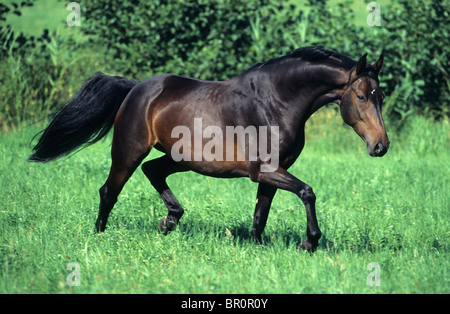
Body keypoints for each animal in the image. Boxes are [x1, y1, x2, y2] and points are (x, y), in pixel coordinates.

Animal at [29, 46, 386, 251]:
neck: (275, 102)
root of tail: (136, 89)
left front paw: (256, 248)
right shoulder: (266, 169)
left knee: (152, 171)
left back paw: (169, 221)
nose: (381, 146)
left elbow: (261, 214)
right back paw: (100, 237)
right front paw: (309, 242)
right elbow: (308, 192)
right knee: (109, 191)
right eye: (361, 96)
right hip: (128, 152)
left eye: (381, 96)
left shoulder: (272, 171)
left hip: (180, 158)